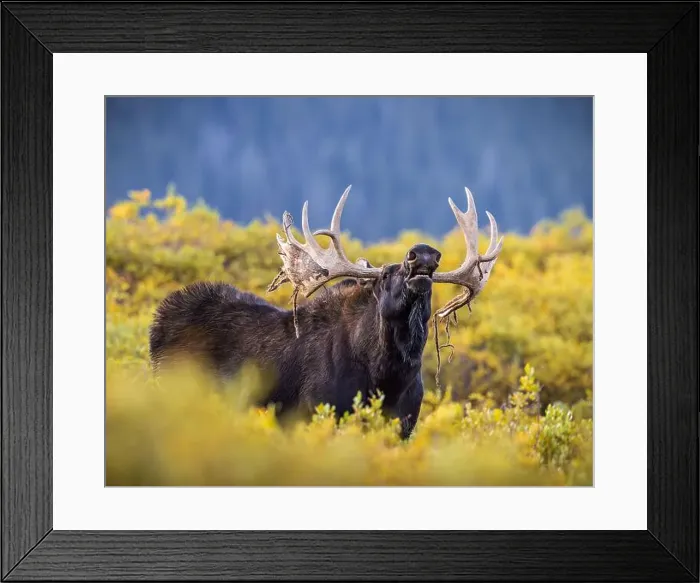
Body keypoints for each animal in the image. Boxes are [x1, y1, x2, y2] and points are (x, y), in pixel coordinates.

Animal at [148, 186, 503, 439]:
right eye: (385, 275)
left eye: (432, 280)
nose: (423, 253)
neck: (388, 376)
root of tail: (156, 323)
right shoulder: (313, 411)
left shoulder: (404, 425)